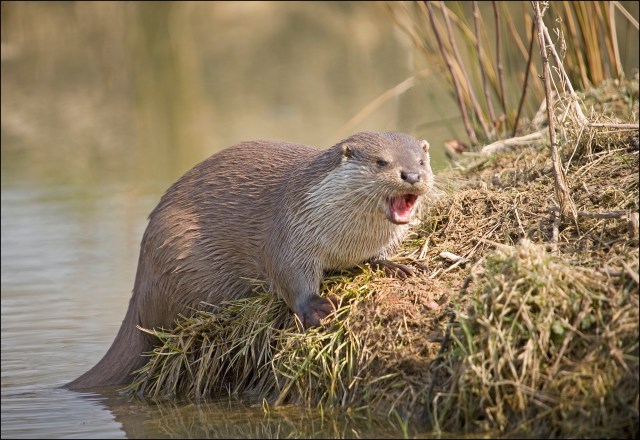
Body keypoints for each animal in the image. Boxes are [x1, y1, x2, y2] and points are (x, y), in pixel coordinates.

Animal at [65, 131, 433, 390]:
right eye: (381, 162)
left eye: (421, 161)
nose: (412, 176)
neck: (349, 240)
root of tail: (139, 283)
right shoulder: (289, 233)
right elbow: (290, 277)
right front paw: (317, 307)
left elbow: (378, 258)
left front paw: (397, 265)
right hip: (173, 254)